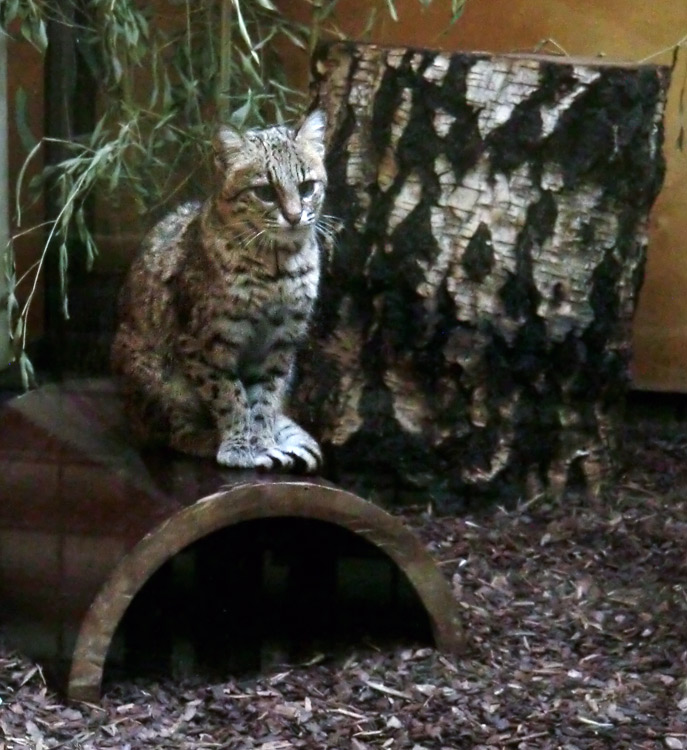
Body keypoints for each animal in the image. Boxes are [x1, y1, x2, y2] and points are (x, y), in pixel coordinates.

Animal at [111, 109, 330, 472]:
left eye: (307, 187)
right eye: (265, 192)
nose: (295, 216)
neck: (277, 270)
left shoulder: (282, 344)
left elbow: (265, 398)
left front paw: (262, 440)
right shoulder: (203, 343)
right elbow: (229, 394)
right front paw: (240, 445)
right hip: (156, 377)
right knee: (173, 433)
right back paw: (206, 439)